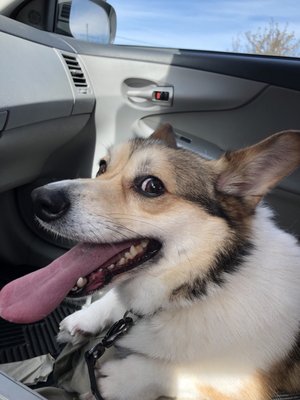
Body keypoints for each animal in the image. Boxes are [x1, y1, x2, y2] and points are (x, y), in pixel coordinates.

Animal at [0, 123, 300, 398]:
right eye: (102, 166)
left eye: (152, 186)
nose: (40, 199)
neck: (205, 282)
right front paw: (84, 319)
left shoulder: (240, 386)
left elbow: (183, 373)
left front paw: (121, 378)